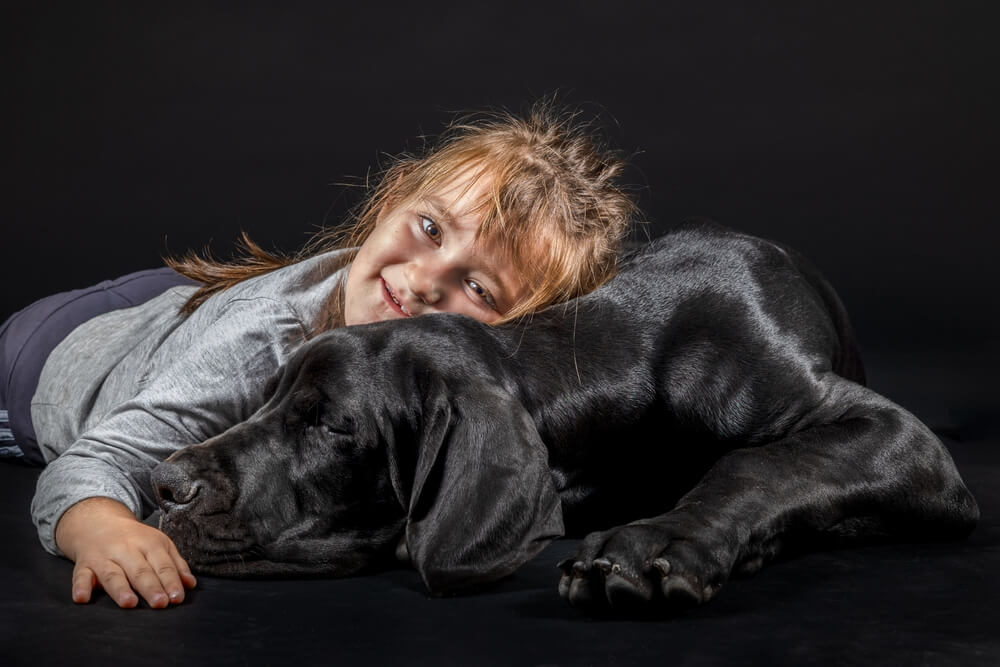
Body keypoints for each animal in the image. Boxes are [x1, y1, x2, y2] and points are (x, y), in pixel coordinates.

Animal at [152, 219, 980, 612]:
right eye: (268, 400)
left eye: (331, 425)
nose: (164, 486)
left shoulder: (896, 437)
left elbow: (760, 462)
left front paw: (656, 541)